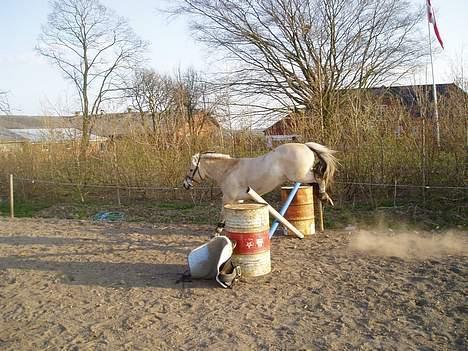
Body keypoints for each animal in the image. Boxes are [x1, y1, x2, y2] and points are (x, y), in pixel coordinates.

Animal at [182, 142, 336, 232]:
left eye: (191, 169)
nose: (185, 185)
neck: (228, 171)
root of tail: (305, 146)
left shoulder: (227, 199)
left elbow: (222, 216)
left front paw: (217, 232)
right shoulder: (238, 201)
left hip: (300, 176)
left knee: (319, 177)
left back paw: (324, 196)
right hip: (301, 176)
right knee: (316, 179)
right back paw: (323, 197)